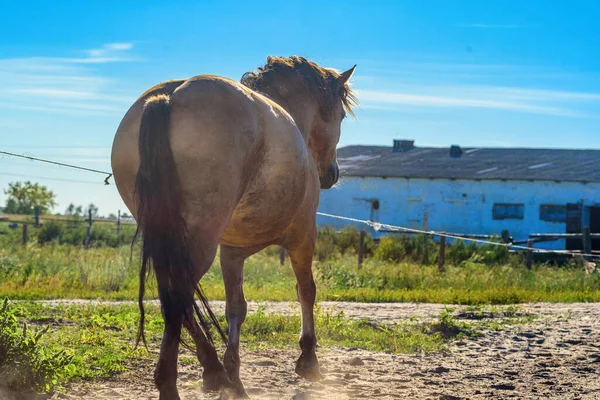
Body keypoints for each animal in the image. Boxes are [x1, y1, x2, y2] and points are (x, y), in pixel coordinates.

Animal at [109, 54, 356, 398]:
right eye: (341, 115)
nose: (331, 173)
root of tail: (170, 97)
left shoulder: (232, 251)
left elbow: (236, 307)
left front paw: (234, 374)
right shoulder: (304, 235)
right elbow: (306, 290)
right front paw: (308, 359)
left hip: (168, 239)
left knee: (178, 301)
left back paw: (214, 371)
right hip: (198, 242)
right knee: (179, 297)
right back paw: (174, 381)